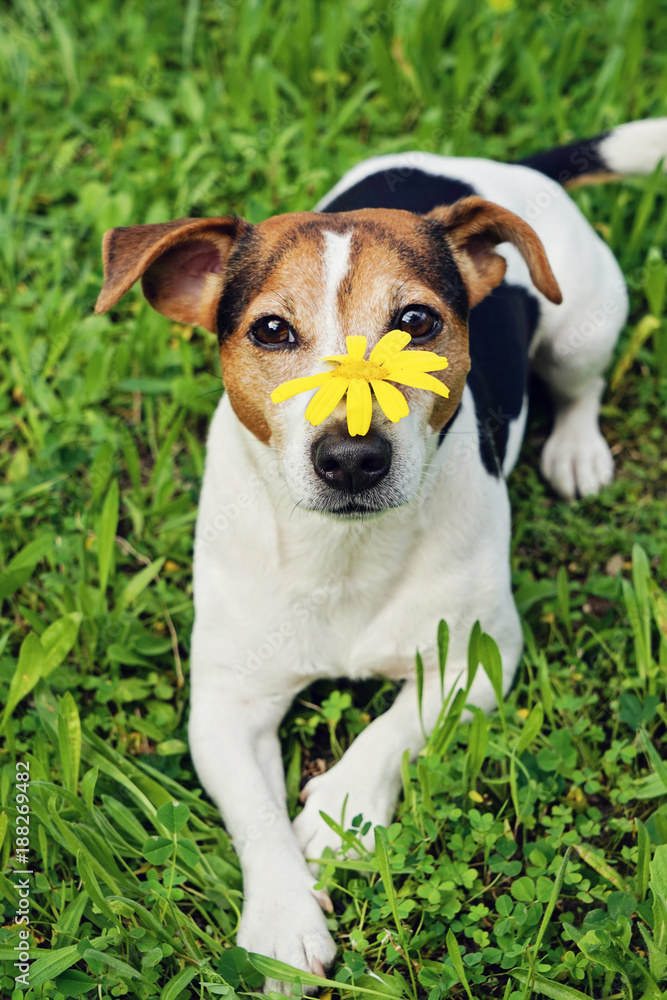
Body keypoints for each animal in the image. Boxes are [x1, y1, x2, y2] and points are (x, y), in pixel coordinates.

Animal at [95, 117, 667, 992]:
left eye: (417, 323)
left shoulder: (478, 658)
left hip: (582, 325)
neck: (342, 548)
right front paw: (281, 920)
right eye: (271, 330)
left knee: (580, 387)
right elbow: (254, 814)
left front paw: (341, 809)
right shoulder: (226, 705)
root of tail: (494, 169)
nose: (352, 457)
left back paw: (575, 449)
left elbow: (394, 729)